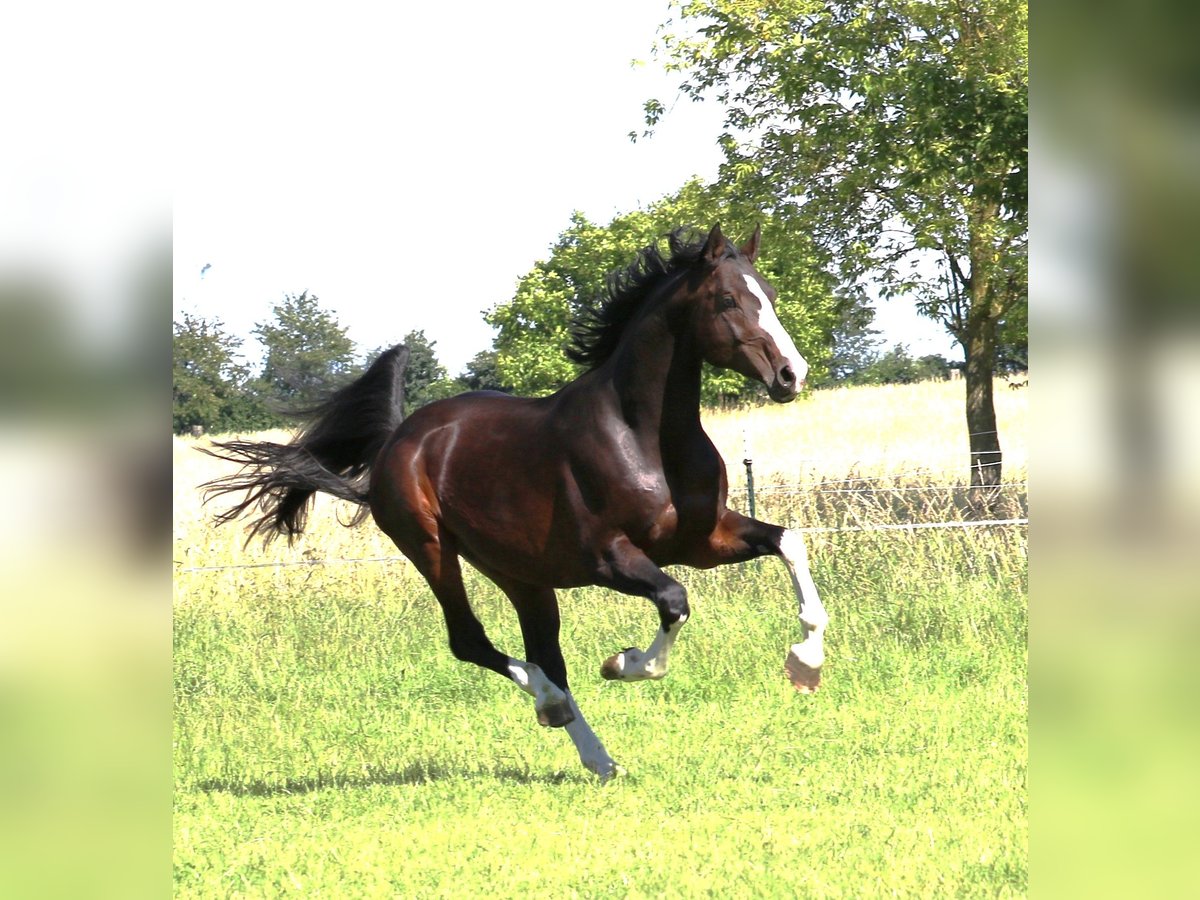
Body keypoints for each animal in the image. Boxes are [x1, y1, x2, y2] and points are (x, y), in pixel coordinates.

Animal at [201, 225, 830, 782]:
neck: (644, 436)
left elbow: (789, 543)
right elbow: (674, 601)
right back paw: (550, 704)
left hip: (520, 575)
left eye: (770, 296)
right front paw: (624, 663)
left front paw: (805, 664)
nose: (791, 375)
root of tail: (399, 441)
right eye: (727, 299)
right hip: (432, 549)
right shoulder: (610, 557)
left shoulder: (703, 539)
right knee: (475, 643)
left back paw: (597, 758)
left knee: (542, 653)